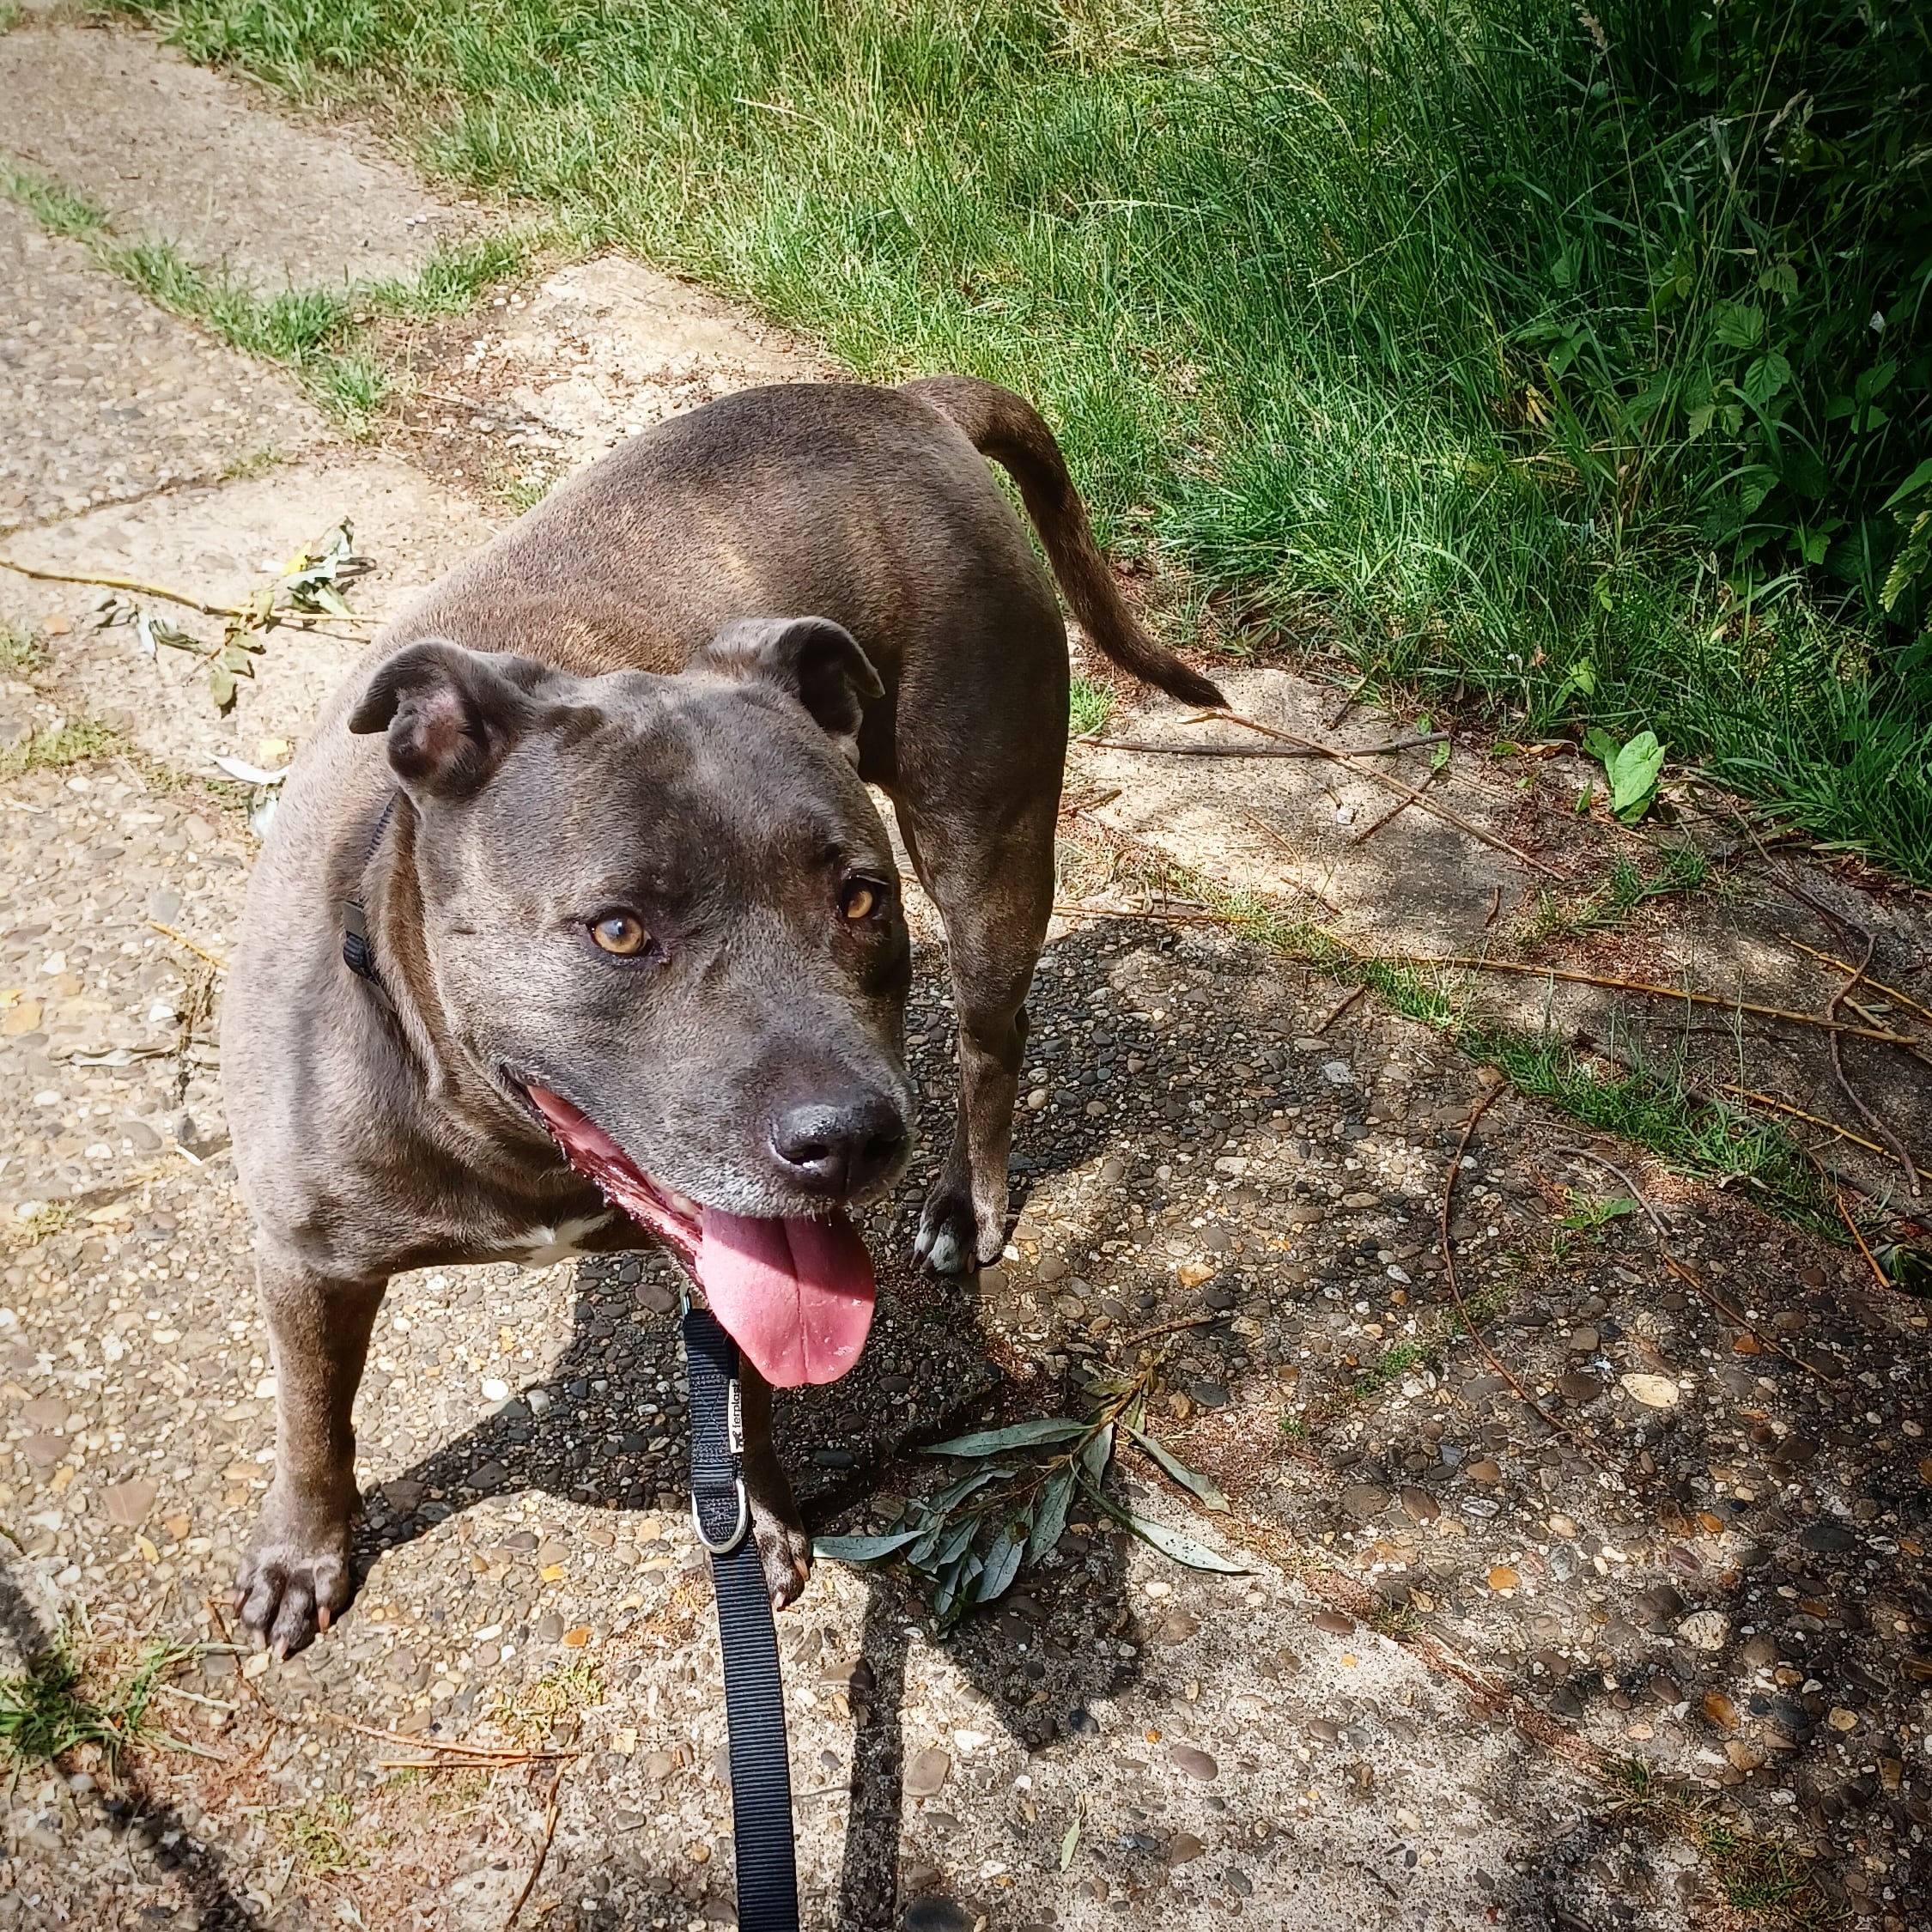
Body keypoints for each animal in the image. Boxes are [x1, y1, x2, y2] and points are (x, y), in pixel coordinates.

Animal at [222, 373, 1221, 1646]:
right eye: (618, 930)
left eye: (858, 898)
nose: (852, 1139)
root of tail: (900, 395)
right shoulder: (305, 1258)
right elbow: (312, 1415)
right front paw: (303, 1550)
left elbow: (748, 1391)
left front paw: (766, 1525)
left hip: (987, 839)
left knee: (993, 1043)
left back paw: (968, 1203)